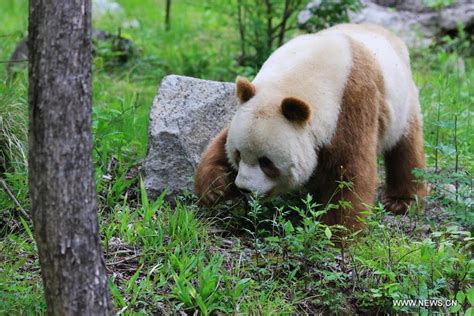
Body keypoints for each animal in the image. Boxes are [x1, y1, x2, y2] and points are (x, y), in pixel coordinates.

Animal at [193, 22, 426, 230]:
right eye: (239, 154)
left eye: (266, 162)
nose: (244, 188)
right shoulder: (256, 101)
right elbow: (220, 142)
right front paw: (214, 188)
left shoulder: (351, 104)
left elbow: (348, 173)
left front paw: (335, 233)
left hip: (403, 101)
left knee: (406, 148)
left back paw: (402, 201)